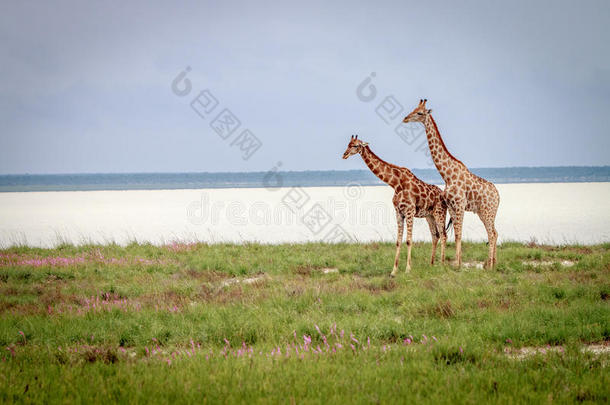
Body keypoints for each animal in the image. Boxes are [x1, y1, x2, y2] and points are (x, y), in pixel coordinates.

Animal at [342, 134, 446, 276]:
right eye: (348, 144)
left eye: (356, 145)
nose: (344, 154)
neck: (395, 183)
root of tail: (444, 196)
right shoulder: (398, 212)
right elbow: (398, 241)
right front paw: (394, 271)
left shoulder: (409, 211)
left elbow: (408, 240)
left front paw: (407, 269)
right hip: (429, 215)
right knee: (435, 235)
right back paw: (431, 264)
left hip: (440, 213)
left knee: (444, 235)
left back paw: (442, 264)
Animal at [402, 98, 496, 268]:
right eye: (414, 109)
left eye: (420, 113)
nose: (405, 118)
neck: (447, 176)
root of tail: (498, 196)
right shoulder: (452, 207)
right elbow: (456, 234)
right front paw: (455, 263)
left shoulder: (459, 205)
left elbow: (459, 234)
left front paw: (457, 265)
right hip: (483, 212)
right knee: (494, 232)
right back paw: (491, 264)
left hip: (488, 212)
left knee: (491, 234)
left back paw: (490, 266)